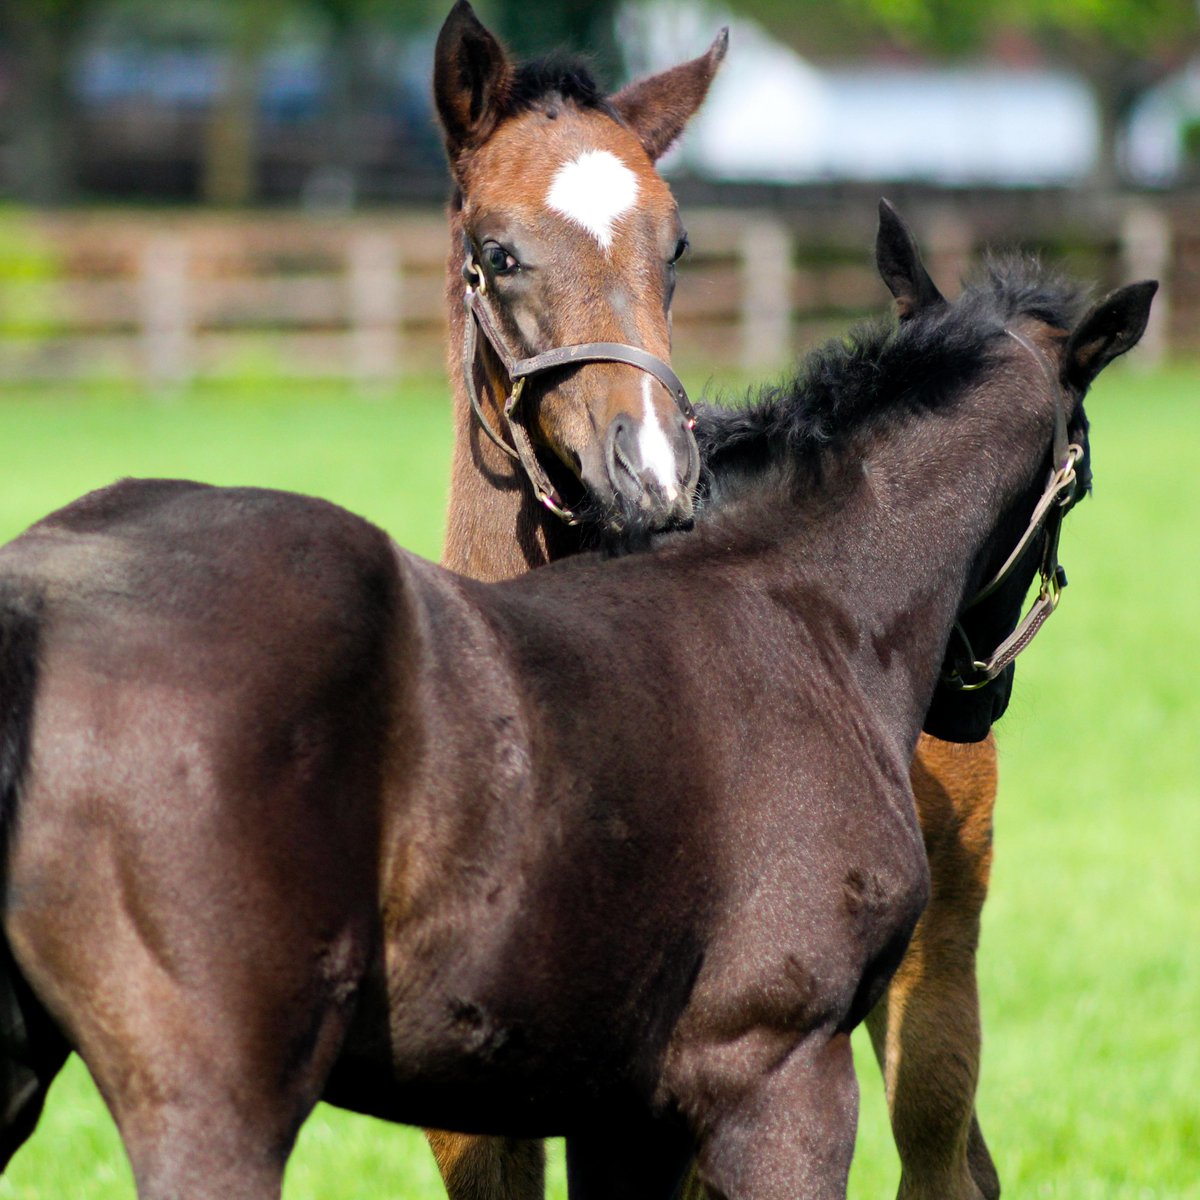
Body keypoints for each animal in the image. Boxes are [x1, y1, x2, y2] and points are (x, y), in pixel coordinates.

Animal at [0, 211, 1152, 1195]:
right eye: (1083, 479)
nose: (972, 706)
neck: (801, 599)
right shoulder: (781, 1075)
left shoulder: (626, 1114)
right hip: (219, 1098)